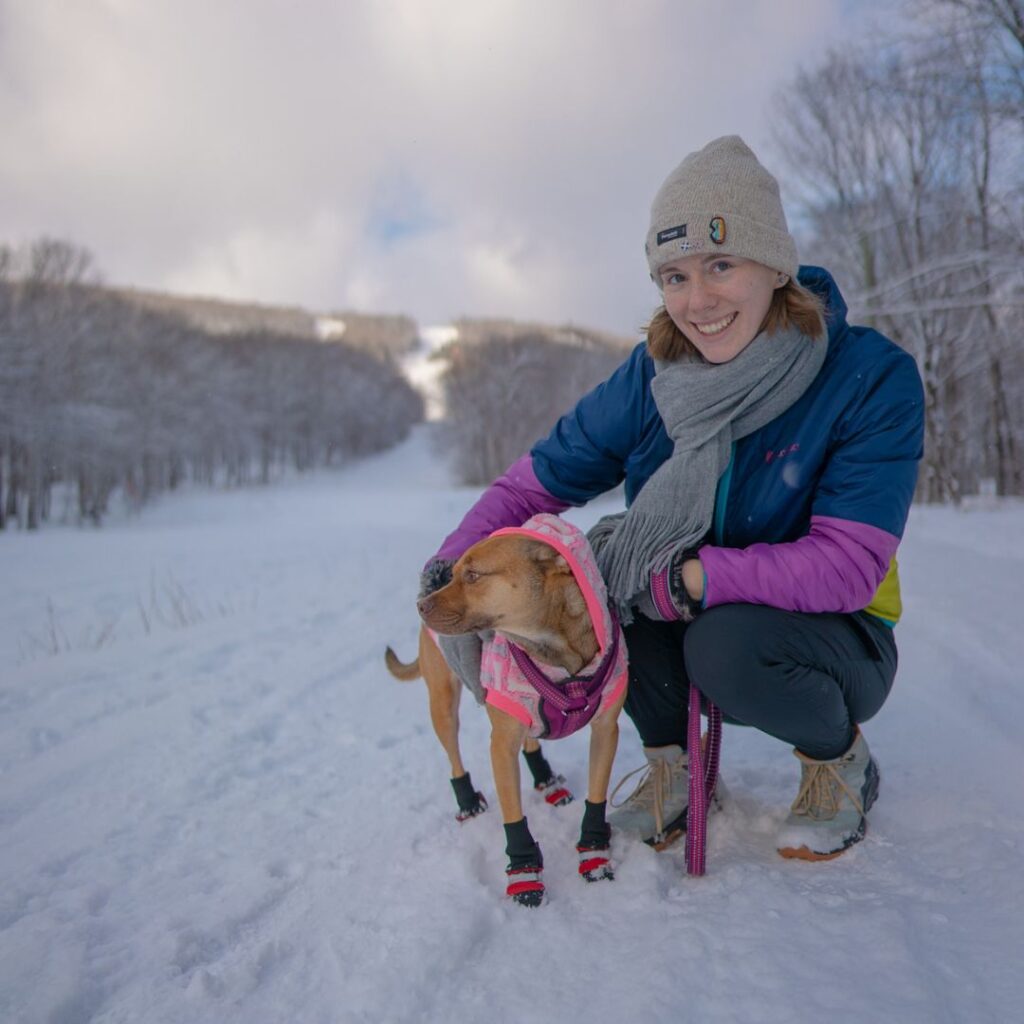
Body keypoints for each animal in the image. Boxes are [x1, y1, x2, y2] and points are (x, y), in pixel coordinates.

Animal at [385, 528, 622, 905]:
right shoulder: (501, 747)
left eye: (472, 576)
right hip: (444, 706)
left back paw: (548, 782)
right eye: (454, 574)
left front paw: (595, 855)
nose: (420, 606)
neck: (554, 652)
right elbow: (514, 817)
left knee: (530, 738)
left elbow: (596, 798)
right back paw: (469, 804)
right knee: (455, 755)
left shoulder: (605, 730)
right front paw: (525, 876)